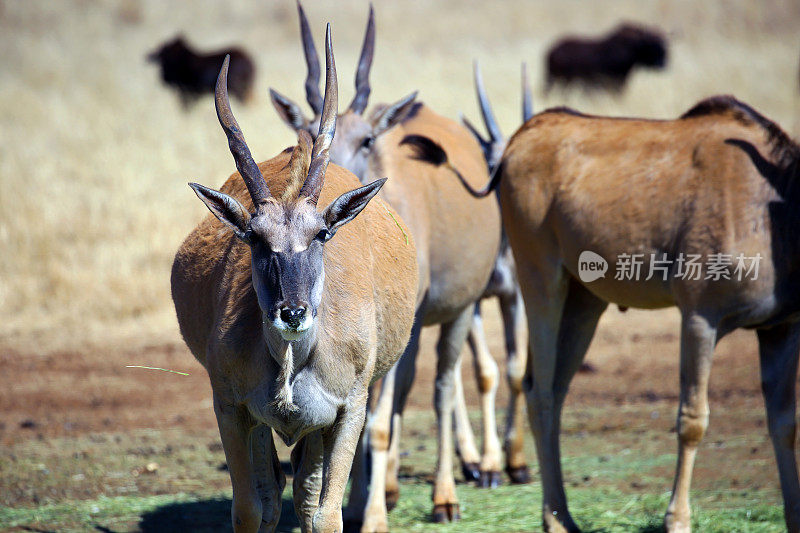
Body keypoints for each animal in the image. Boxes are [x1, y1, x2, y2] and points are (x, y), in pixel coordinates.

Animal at [170, 30, 418, 532]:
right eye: (253, 236)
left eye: (321, 233)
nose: (292, 312)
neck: (290, 361)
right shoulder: (230, 408)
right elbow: (251, 507)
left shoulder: (347, 413)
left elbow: (324, 513)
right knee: (274, 491)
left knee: (304, 492)